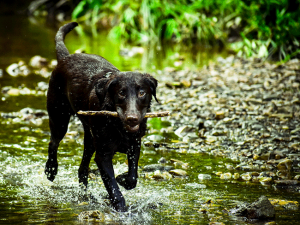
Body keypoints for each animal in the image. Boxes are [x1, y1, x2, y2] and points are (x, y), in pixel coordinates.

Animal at [45, 22, 157, 212]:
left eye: (142, 92)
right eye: (121, 93)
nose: (132, 118)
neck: (118, 127)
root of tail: (65, 58)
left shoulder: (135, 145)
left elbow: (132, 177)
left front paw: (123, 178)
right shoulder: (103, 155)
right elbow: (112, 184)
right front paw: (119, 205)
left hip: (90, 138)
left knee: (82, 168)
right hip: (59, 118)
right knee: (53, 143)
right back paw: (51, 170)